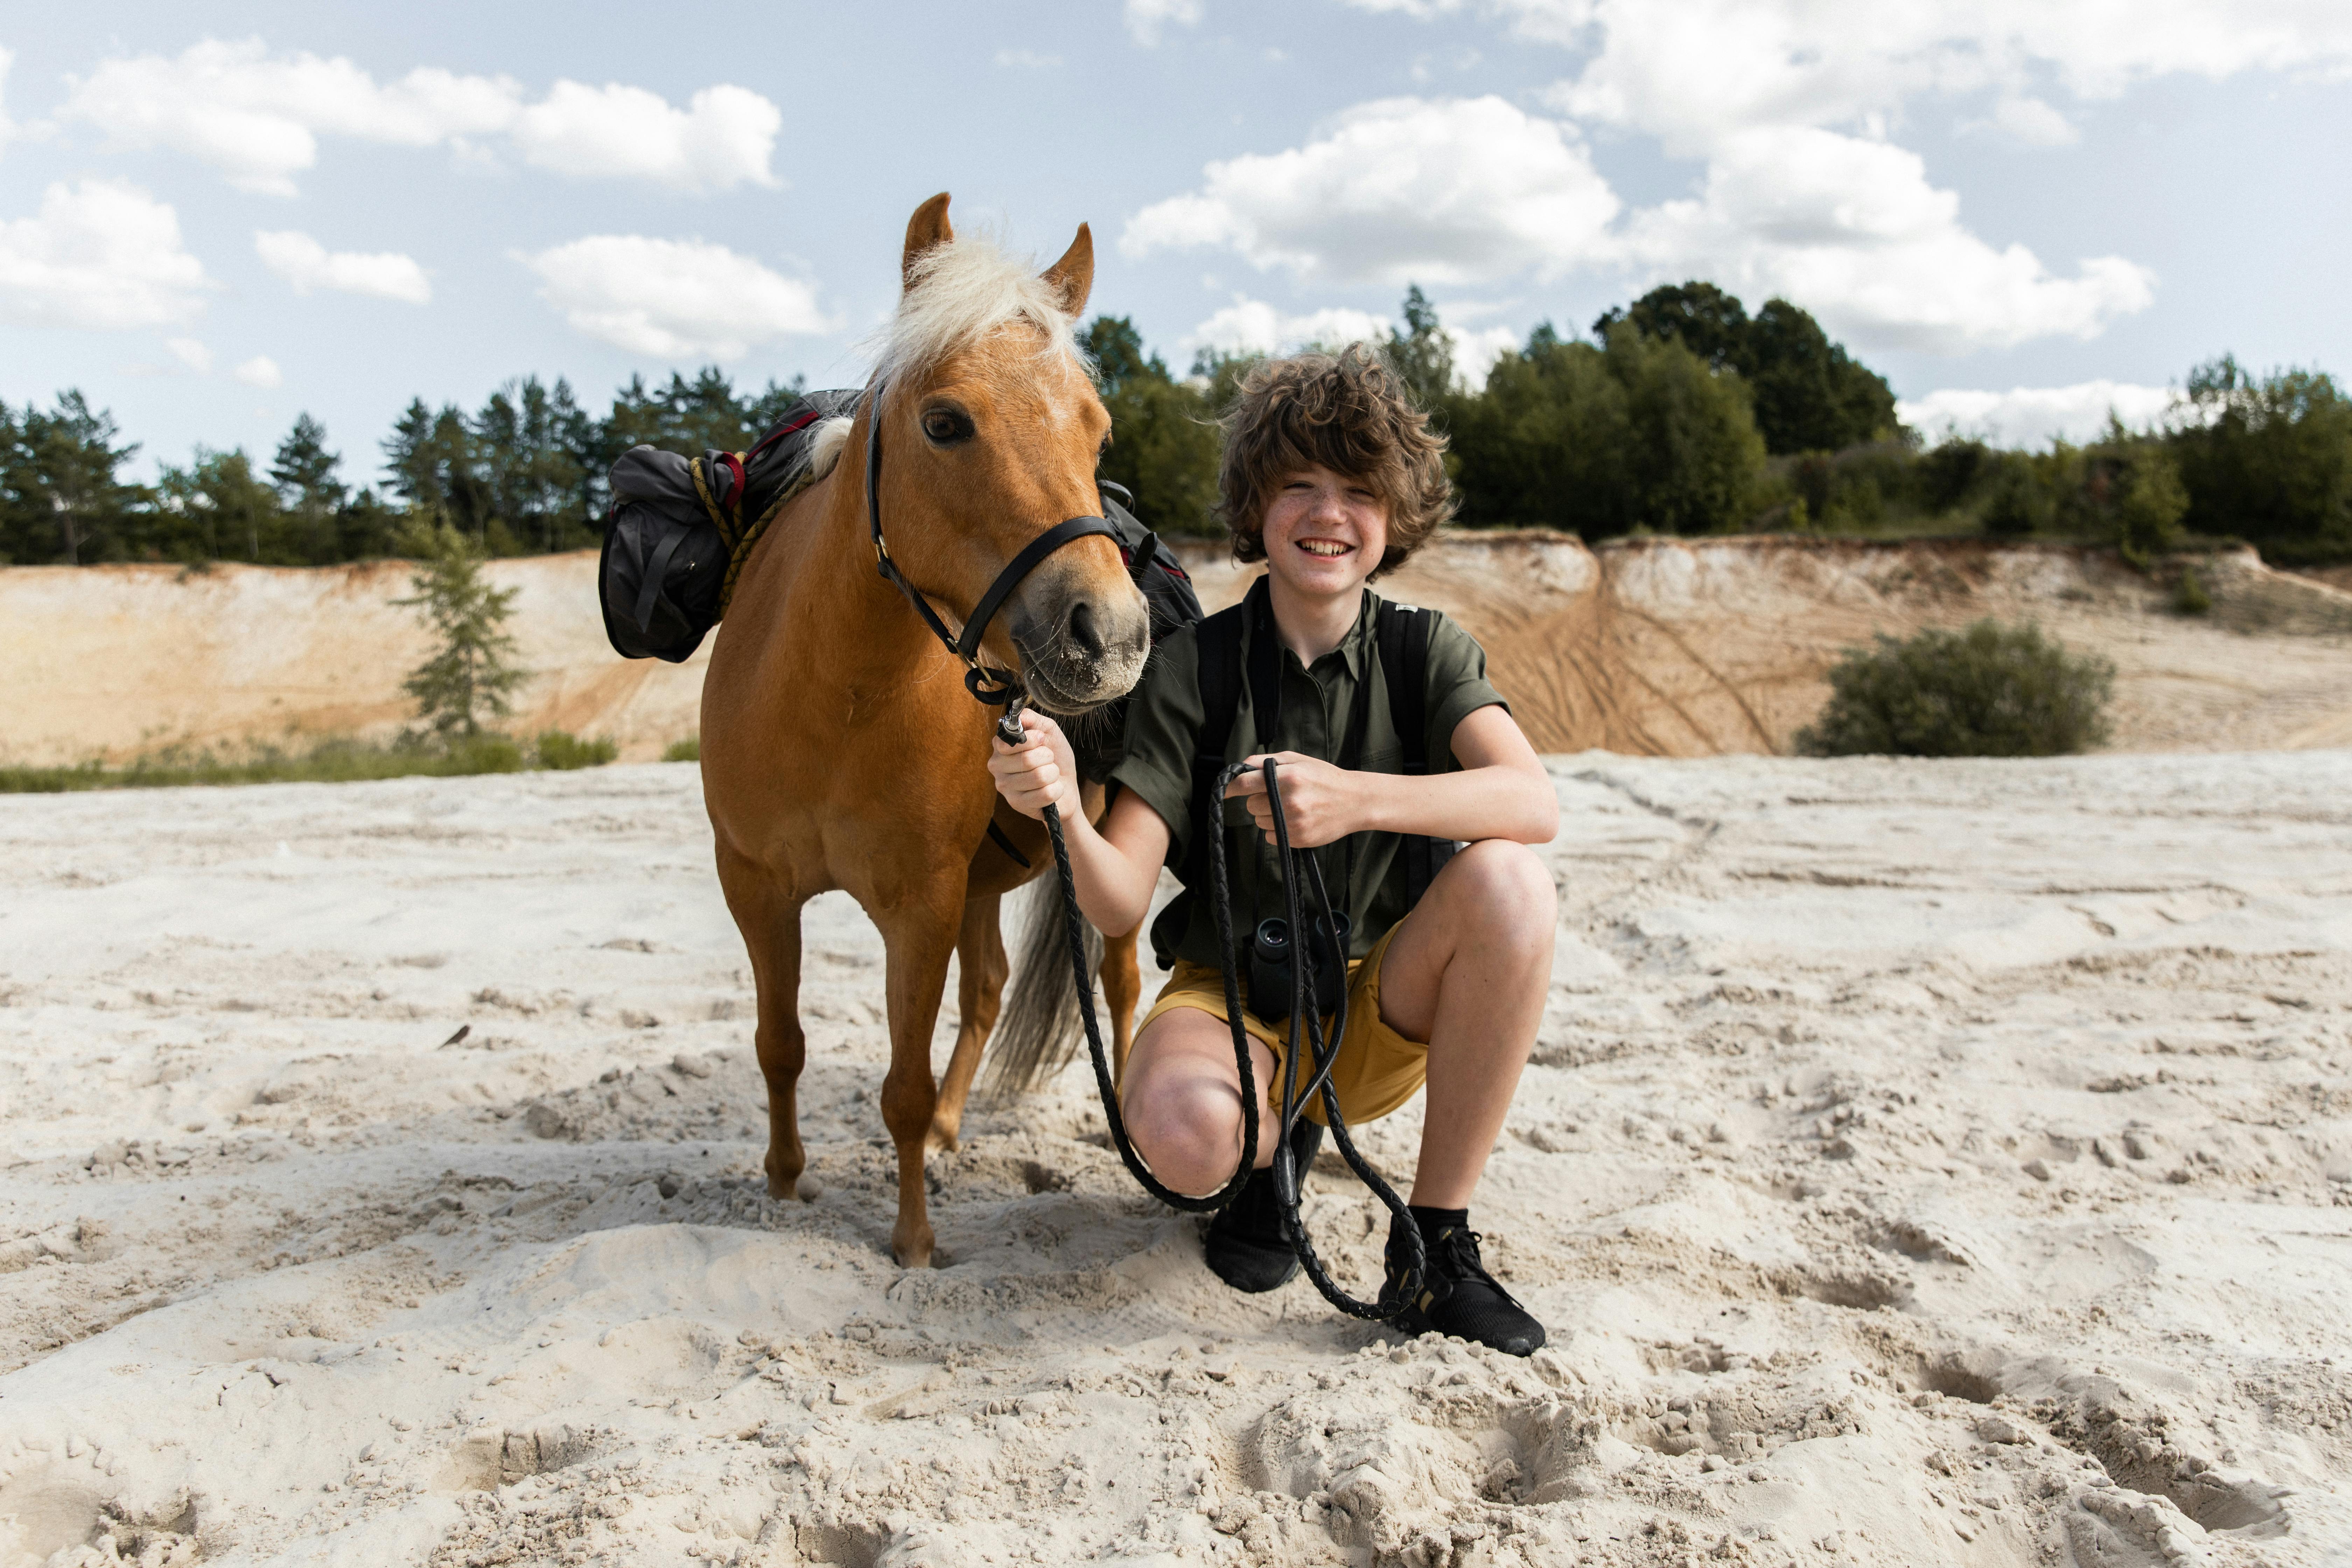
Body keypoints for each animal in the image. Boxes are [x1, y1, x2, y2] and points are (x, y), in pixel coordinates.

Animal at [701, 192, 1152, 1279]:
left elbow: (898, 1087)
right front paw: (785, 1181)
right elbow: (780, 1043)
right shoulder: (756, 886)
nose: (1112, 636)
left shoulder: (920, 905)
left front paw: (911, 1243)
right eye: (946, 423)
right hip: (986, 877)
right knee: (988, 989)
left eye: (1098, 432)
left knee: (1118, 984)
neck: (834, 698)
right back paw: (954, 1125)